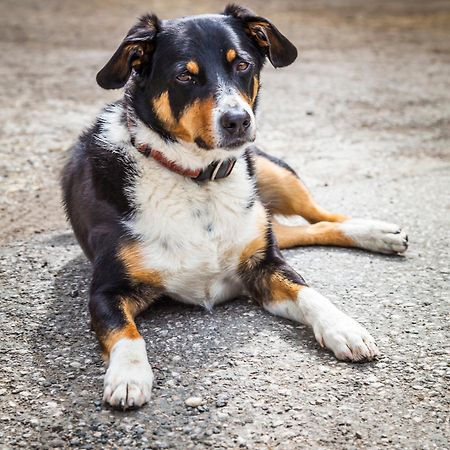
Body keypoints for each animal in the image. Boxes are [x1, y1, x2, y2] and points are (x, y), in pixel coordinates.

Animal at [61, 3, 410, 410]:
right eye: (184, 75)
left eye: (242, 64)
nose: (238, 120)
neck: (198, 180)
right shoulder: (106, 290)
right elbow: (125, 332)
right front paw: (129, 375)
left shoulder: (263, 266)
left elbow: (309, 293)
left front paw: (343, 327)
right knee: (301, 228)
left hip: (273, 173)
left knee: (321, 216)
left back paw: (376, 232)